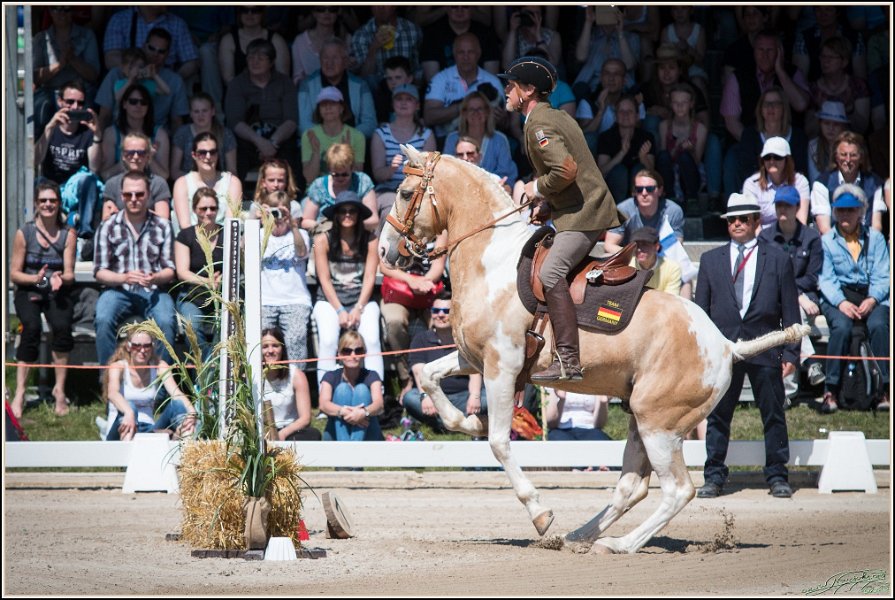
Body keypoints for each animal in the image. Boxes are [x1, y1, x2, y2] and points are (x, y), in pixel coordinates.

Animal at [378, 146, 808, 554]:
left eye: (405, 193)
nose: (384, 253)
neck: (491, 258)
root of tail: (726, 345)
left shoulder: (503, 364)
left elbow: (499, 443)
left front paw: (539, 512)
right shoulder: (475, 359)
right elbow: (427, 375)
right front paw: (468, 422)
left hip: (659, 425)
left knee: (677, 490)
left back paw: (618, 544)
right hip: (640, 419)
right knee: (632, 488)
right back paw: (582, 535)